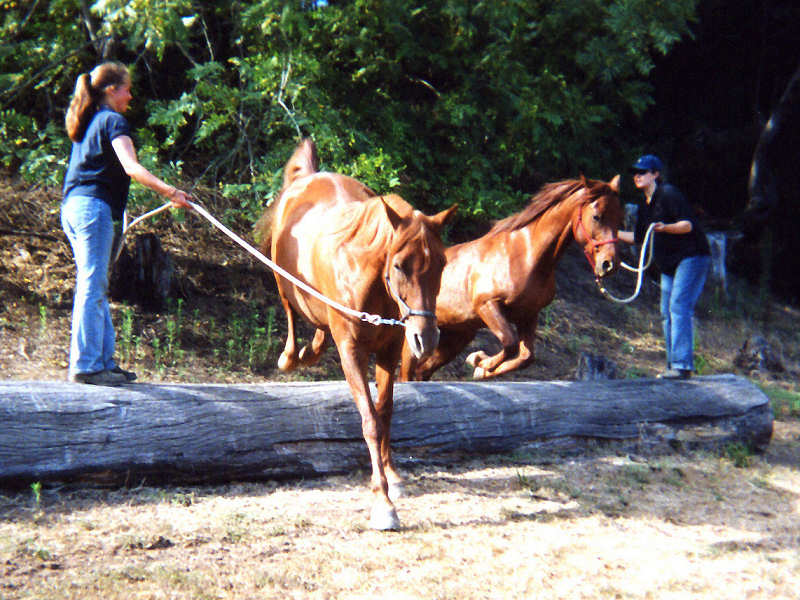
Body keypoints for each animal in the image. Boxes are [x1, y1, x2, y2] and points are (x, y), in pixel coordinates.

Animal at [258, 139, 456, 528]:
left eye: (441, 264)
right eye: (399, 265)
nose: (427, 339)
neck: (370, 282)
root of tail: (309, 177)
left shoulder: (390, 350)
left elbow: (385, 412)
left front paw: (392, 477)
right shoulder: (352, 351)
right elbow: (369, 420)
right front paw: (382, 502)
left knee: (318, 329)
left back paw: (310, 350)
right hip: (281, 276)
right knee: (290, 309)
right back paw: (290, 356)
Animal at [400, 175, 624, 380]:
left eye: (619, 219)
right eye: (597, 216)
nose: (609, 264)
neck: (526, 256)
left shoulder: (529, 314)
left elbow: (526, 357)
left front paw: (481, 367)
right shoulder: (488, 305)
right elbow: (510, 343)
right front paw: (480, 361)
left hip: (456, 336)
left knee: (422, 371)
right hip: (417, 340)